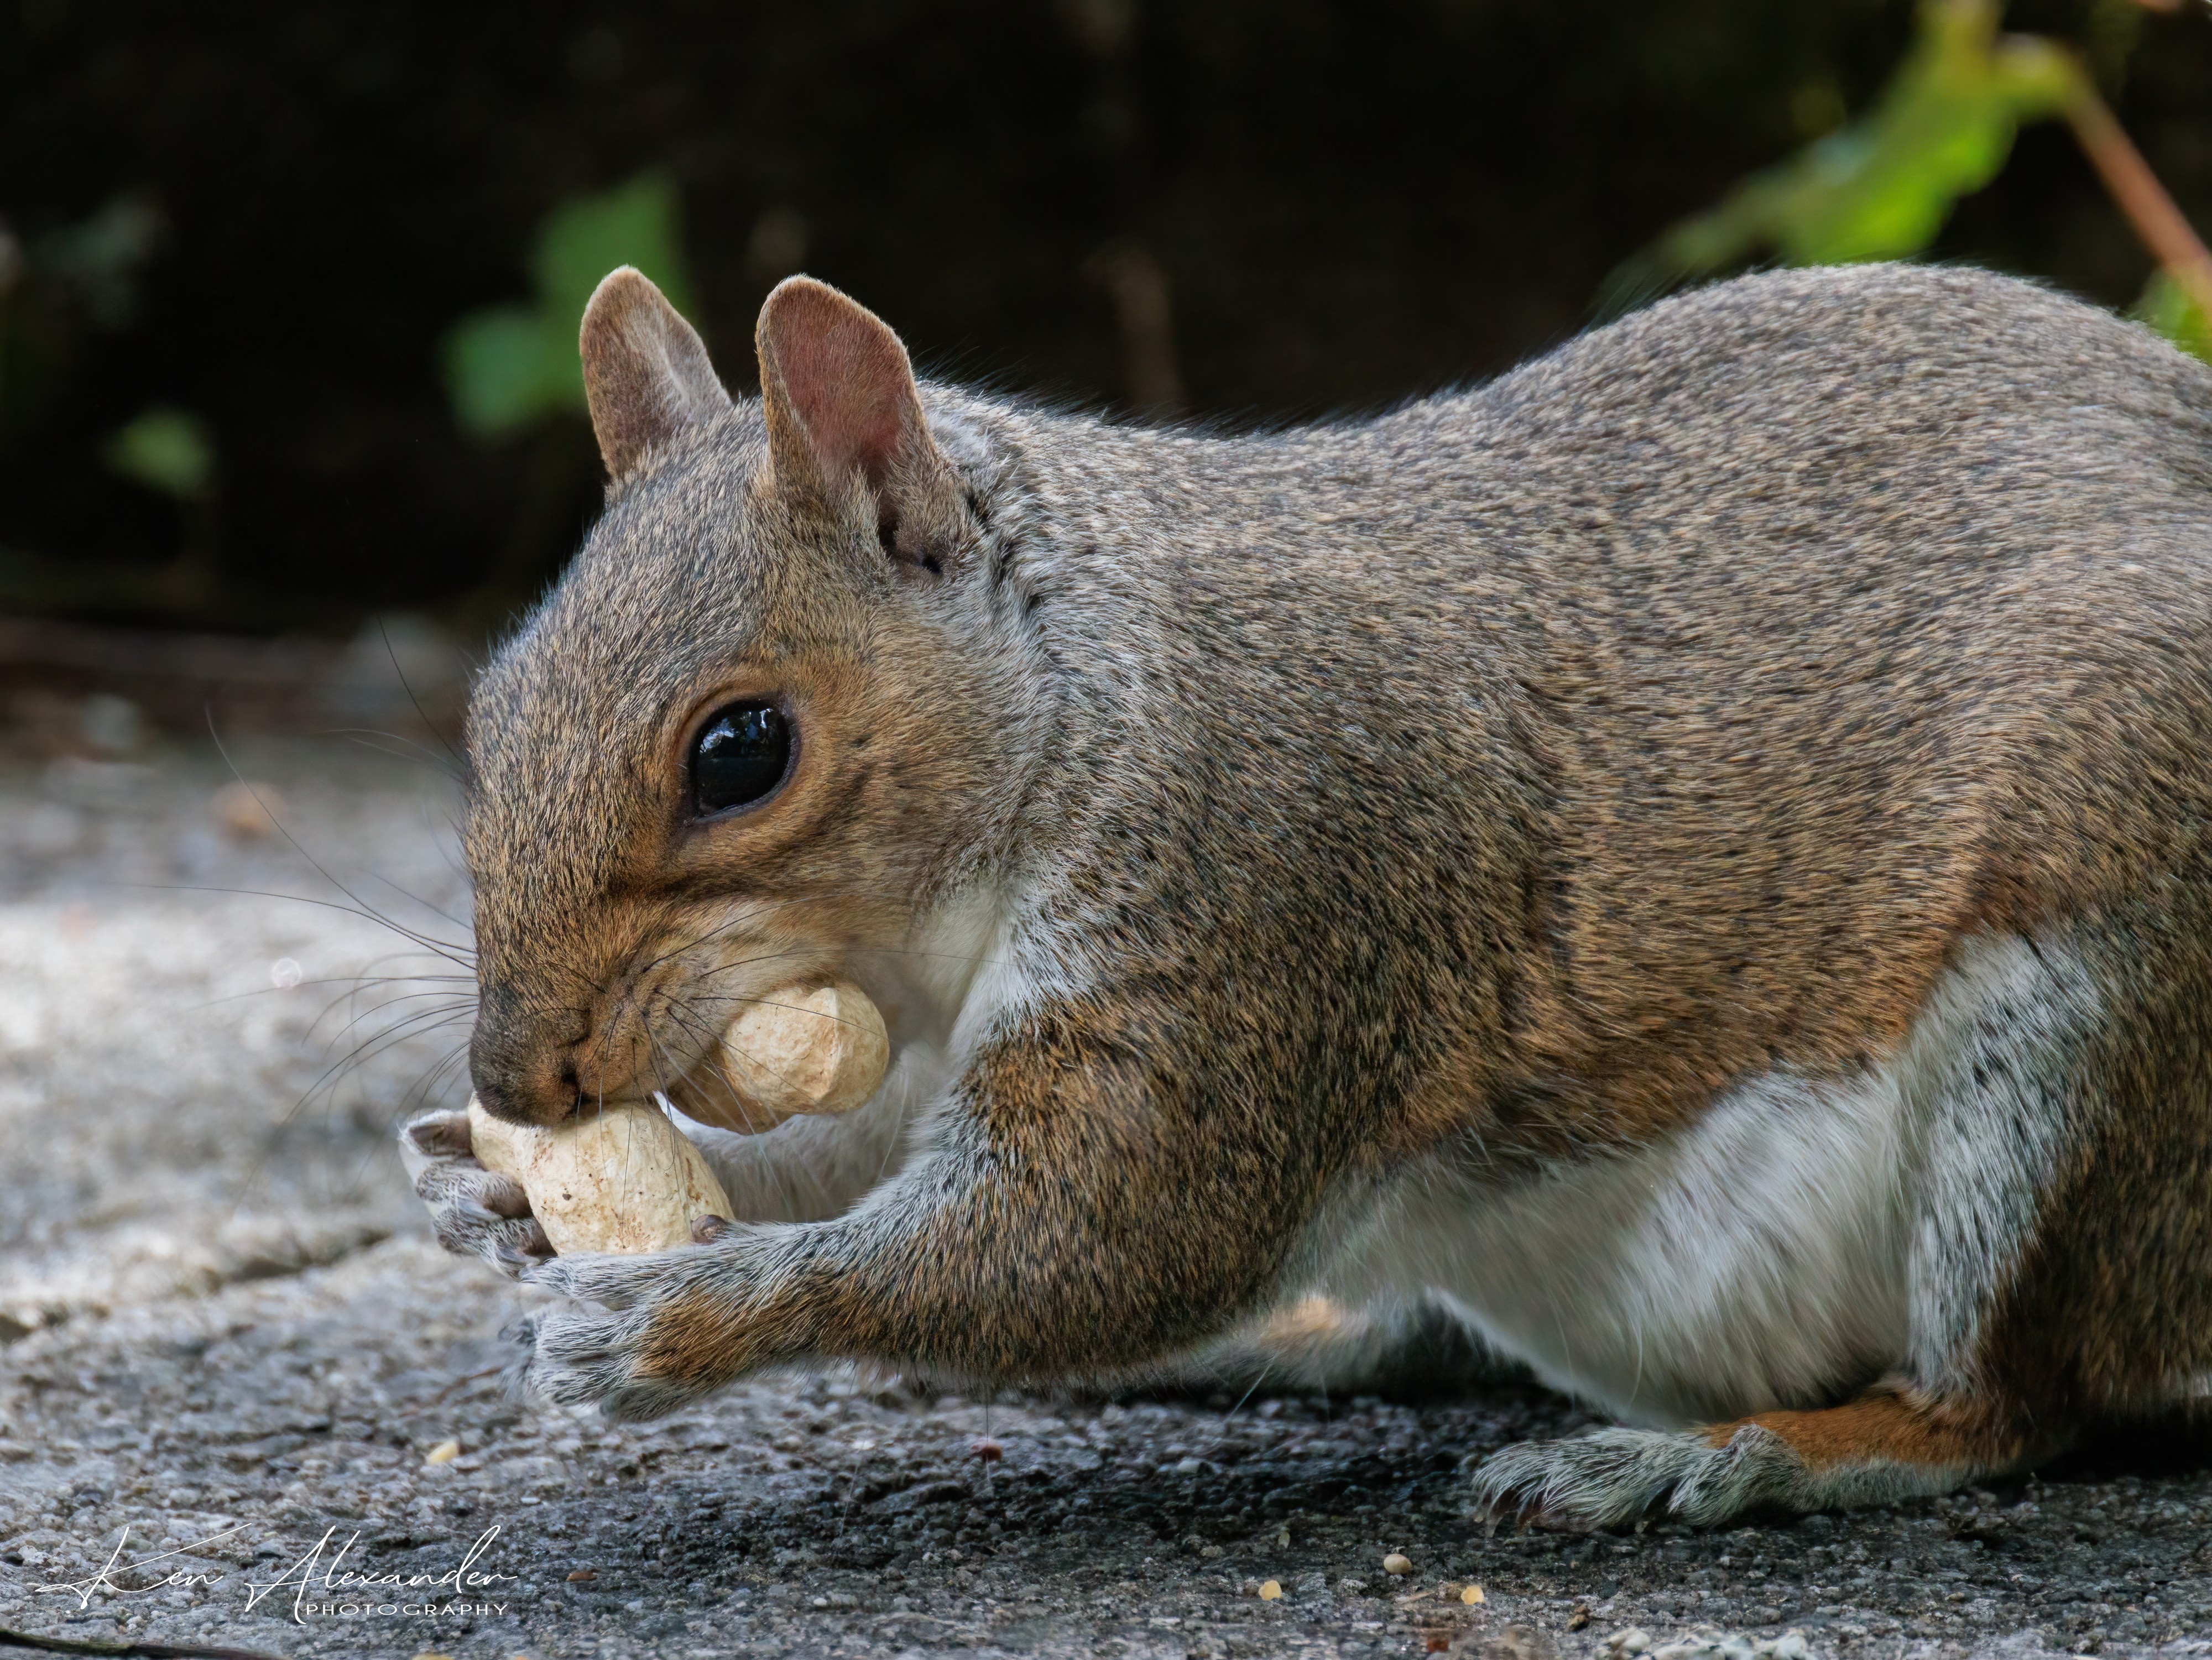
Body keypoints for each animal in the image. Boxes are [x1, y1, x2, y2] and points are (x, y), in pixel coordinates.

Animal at [403, 263, 2212, 1531]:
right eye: (490, 704)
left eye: (742, 751)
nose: (514, 1076)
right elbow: (861, 1159)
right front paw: (497, 1189)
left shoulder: (1266, 892)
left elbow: (1098, 1231)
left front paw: (675, 1313)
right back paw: (1292, 1341)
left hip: (2093, 1028)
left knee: (2005, 1405)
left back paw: (1737, 1452)